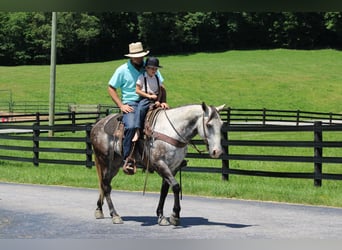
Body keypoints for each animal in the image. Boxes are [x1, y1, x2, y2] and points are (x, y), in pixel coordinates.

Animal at [90, 102, 224, 226]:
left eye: (222, 124)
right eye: (209, 124)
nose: (217, 152)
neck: (171, 131)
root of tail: (98, 124)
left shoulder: (173, 167)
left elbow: (164, 190)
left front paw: (161, 216)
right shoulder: (160, 164)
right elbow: (176, 186)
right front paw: (175, 216)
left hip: (115, 165)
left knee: (105, 184)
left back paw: (99, 210)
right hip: (105, 161)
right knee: (106, 185)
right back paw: (115, 215)